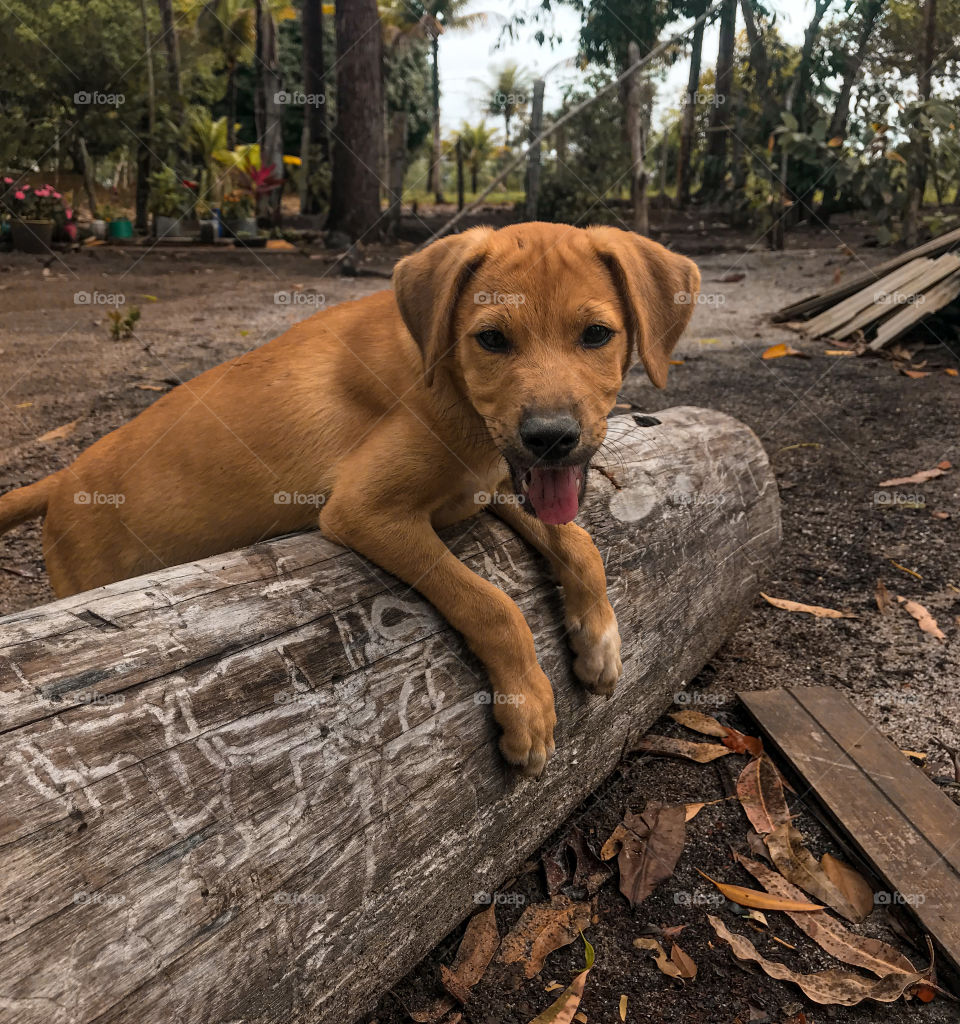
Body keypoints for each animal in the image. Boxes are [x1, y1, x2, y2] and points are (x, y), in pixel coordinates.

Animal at [3, 222, 700, 770]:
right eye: (492, 339)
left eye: (596, 334)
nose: (552, 438)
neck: (442, 376)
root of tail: (60, 482)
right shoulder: (366, 511)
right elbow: (490, 604)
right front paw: (527, 706)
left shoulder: (494, 480)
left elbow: (579, 542)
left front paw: (598, 638)